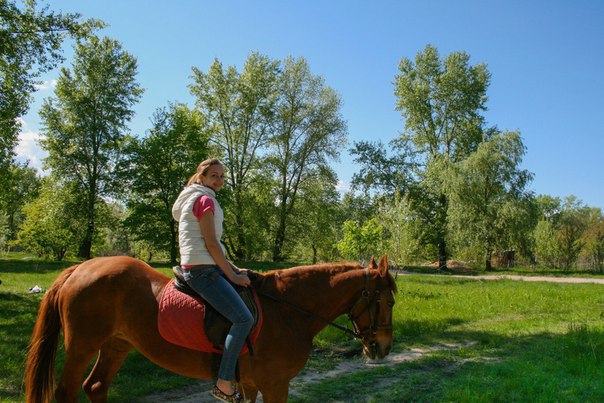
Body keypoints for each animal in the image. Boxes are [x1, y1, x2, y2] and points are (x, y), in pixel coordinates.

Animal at [26, 258, 396, 402]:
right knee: (67, 392)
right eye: (389, 301)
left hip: (116, 345)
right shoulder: (275, 385)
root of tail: (79, 268)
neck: (287, 310)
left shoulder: (250, 383)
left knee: (96, 386)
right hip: (82, 348)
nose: (383, 346)